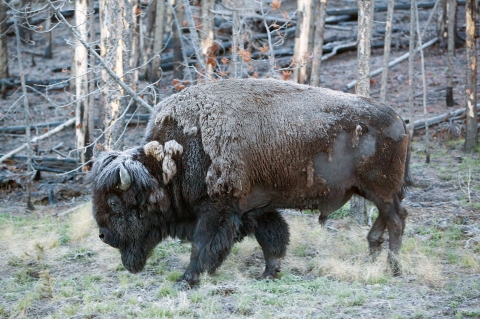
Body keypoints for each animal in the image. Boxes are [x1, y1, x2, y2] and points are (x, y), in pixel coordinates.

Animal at [88, 79, 410, 288]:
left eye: (114, 201)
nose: (103, 236)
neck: (175, 157)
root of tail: (397, 117)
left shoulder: (216, 208)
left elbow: (201, 244)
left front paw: (186, 279)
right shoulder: (257, 207)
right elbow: (272, 238)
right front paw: (269, 274)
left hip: (381, 188)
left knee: (396, 219)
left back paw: (392, 267)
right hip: (370, 190)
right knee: (387, 218)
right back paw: (372, 256)